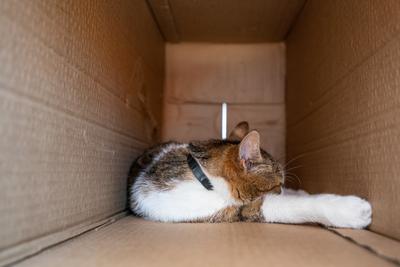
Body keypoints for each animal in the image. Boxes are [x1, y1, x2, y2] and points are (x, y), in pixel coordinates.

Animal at [129, 122, 372, 229]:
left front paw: (298, 191)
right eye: (277, 184)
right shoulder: (240, 211)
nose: (282, 190)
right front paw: (352, 211)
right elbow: (293, 206)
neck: (202, 173)